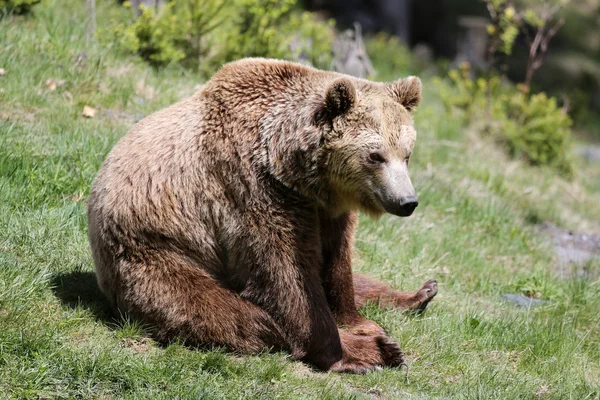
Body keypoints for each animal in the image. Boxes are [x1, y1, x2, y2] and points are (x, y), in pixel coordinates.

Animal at [88, 57, 436, 372]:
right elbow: (285, 277)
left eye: (406, 155)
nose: (407, 201)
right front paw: (359, 350)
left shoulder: (326, 208)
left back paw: (419, 294)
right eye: (376, 156)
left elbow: (338, 263)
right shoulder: (255, 189)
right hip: (158, 255)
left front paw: (360, 323)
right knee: (233, 315)